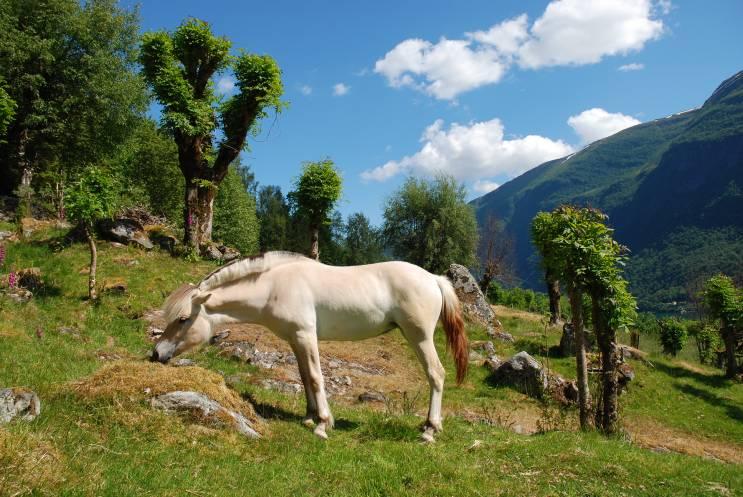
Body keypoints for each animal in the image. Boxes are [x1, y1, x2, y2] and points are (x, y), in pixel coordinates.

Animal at [150, 250, 470, 440]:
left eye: (182, 319)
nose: (156, 353)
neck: (273, 287)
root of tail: (434, 278)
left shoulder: (306, 336)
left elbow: (316, 378)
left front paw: (322, 424)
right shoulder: (295, 340)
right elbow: (304, 377)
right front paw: (308, 417)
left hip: (420, 337)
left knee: (436, 374)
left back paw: (430, 431)